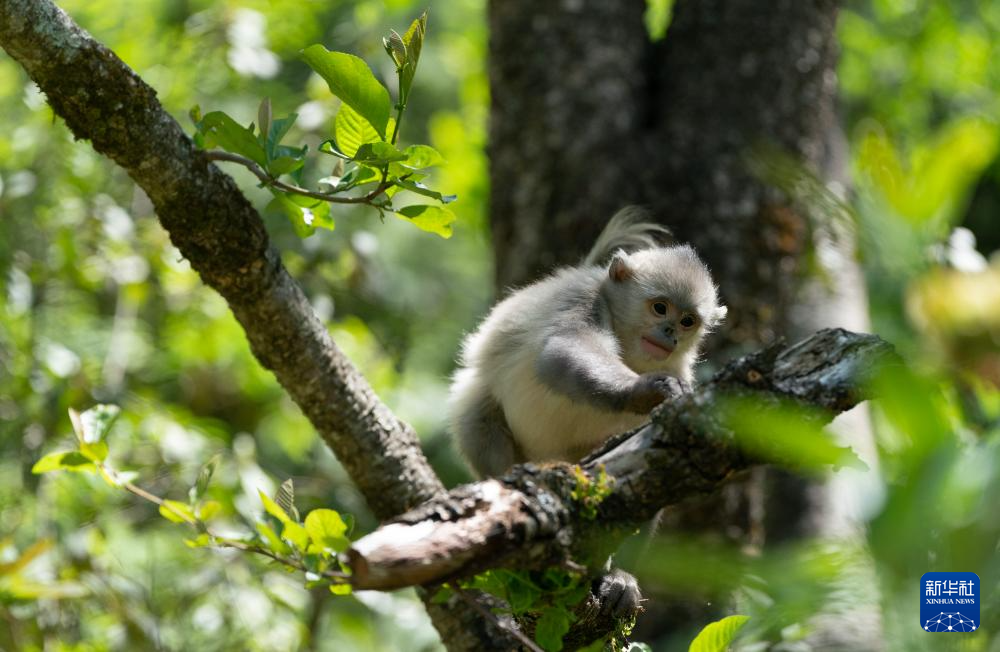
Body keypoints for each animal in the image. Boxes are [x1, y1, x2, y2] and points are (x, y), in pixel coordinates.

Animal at [452, 208, 728, 616]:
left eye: (688, 320)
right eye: (660, 307)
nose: (670, 333)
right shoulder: (582, 299)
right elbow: (562, 350)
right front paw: (645, 390)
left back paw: (614, 577)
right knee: (481, 421)